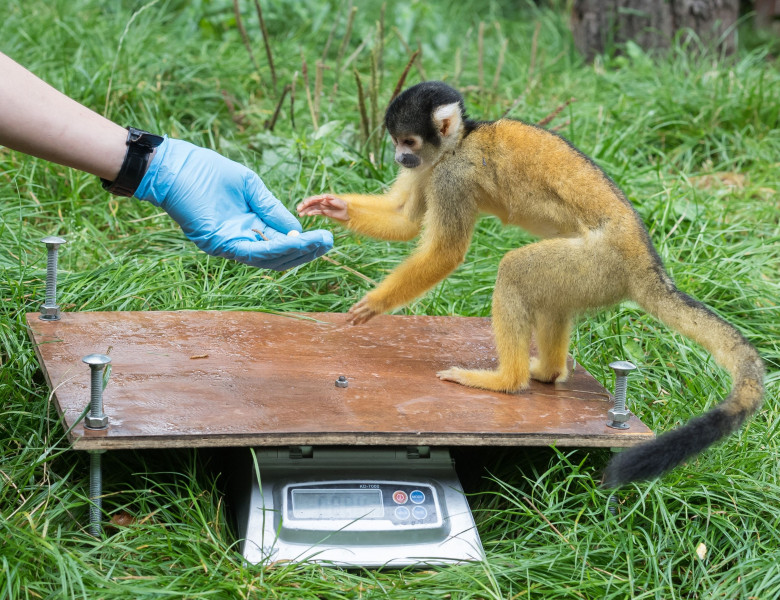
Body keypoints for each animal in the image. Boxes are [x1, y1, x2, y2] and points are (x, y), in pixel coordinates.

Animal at [296, 81, 764, 488]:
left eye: (408, 142)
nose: (398, 159)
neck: (459, 144)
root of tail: (647, 263)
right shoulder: (432, 169)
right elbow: (406, 219)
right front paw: (332, 207)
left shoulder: (453, 176)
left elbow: (445, 252)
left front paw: (374, 303)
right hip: (593, 275)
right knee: (549, 294)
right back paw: (547, 371)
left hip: (600, 265)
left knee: (515, 270)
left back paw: (507, 380)